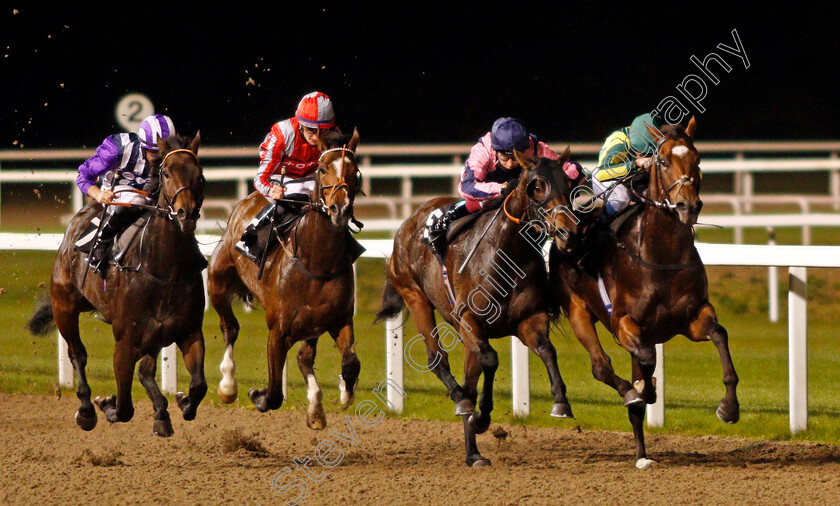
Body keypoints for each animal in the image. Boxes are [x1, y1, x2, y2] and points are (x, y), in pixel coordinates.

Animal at [28, 132, 210, 436]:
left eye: (200, 174)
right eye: (166, 172)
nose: (186, 214)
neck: (165, 269)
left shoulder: (188, 330)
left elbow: (199, 386)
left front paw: (181, 402)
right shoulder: (125, 340)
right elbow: (124, 407)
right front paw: (107, 404)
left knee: (146, 369)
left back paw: (161, 413)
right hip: (64, 305)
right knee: (77, 354)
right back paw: (87, 409)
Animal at [208, 126, 362, 426]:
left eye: (354, 170)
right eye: (322, 168)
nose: (339, 210)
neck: (317, 263)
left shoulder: (338, 318)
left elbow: (350, 362)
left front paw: (343, 393)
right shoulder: (278, 331)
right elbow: (274, 394)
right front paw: (256, 394)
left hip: (312, 325)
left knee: (304, 356)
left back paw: (316, 408)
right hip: (217, 283)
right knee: (230, 328)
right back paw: (228, 387)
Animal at [378, 149, 580, 466]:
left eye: (568, 184)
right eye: (536, 185)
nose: (567, 232)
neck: (506, 253)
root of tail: (407, 224)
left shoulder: (529, 320)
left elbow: (547, 350)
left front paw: (561, 402)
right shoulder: (469, 320)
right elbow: (490, 360)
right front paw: (481, 417)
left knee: (468, 380)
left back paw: (473, 453)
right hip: (415, 296)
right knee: (438, 359)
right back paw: (462, 403)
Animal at [552, 116, 740, 468]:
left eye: (697, 160)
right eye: (663, 161)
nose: (688, 206)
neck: (662, 256)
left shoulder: (693, 317)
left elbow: (719, 335)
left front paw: (728, 407)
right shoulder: (625, 324)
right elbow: (646, 359)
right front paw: (645, 389)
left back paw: (642, 450)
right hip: (577, 309)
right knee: (602, 366)